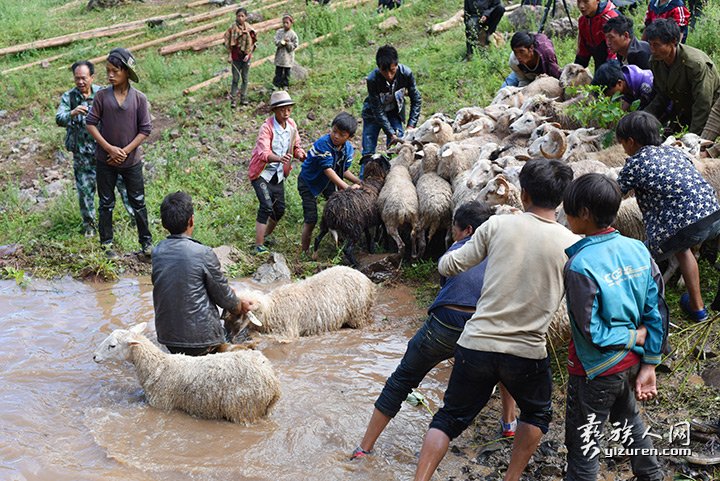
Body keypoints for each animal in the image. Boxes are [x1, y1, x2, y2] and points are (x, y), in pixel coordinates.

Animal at [90, 322, 282, 424]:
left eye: (112, 345)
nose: (94, 356)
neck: (157, 366)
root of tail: (273, 385)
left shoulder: (161, 405)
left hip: (244, 409)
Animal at [229, 266, 376, 338]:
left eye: (238, 314)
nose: (230, 336)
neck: (270, 308)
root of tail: (366, 279)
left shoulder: (286, 331)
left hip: (358, 313)